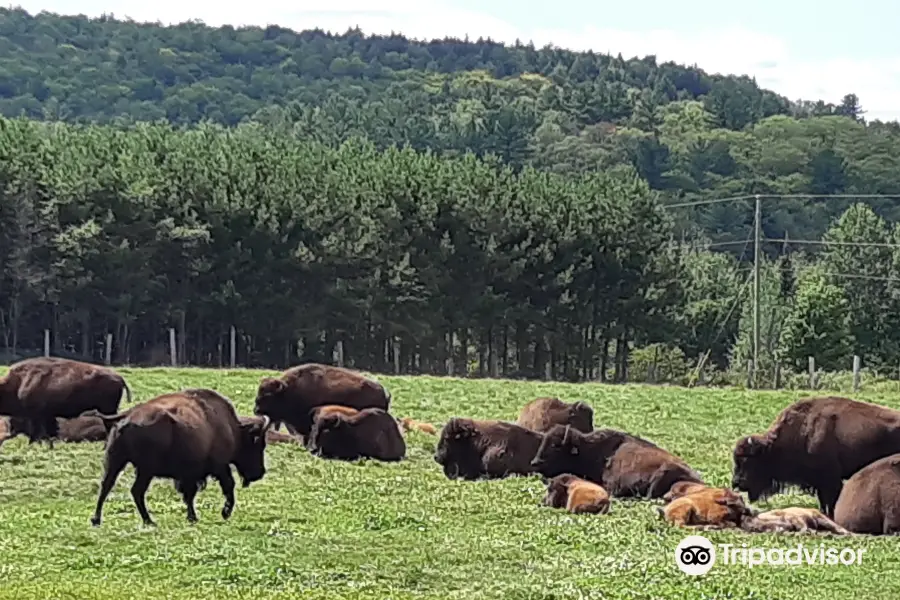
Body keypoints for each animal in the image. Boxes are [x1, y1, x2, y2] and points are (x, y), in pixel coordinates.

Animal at [87, 390, 270, 524]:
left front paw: (192, 516)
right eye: (257, 445)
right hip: (145, 469)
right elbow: (226, 486)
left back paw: (96, 519)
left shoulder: (188, 474)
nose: (260, 473)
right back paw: (149, 520)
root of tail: (127, 418)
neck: (232, 429)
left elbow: (189, 494)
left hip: (115, 461)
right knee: (136, 490)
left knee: (106, 485)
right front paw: (223, 512)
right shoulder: (218, 466)